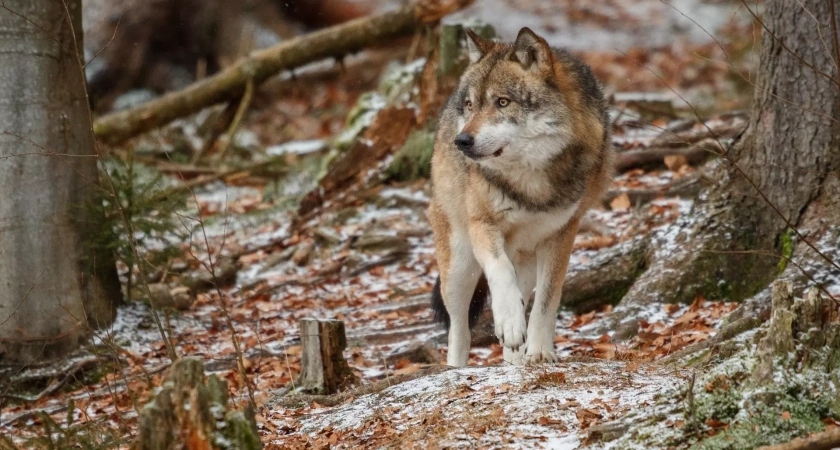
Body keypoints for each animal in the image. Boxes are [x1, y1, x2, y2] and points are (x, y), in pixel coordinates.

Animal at [430, 27, 612, 366]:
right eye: (471, 105)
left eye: (503, 102)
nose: (461, 141)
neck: (530, 183)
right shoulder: (482, 225)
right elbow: (500, 272)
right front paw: (510, 323)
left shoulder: (563, 233)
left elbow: (548, 299)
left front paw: (539, 351)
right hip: (459, 265)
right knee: (459, 328)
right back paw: (457, 367)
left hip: (524, 258)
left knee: (521, 297)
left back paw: (513, 361)